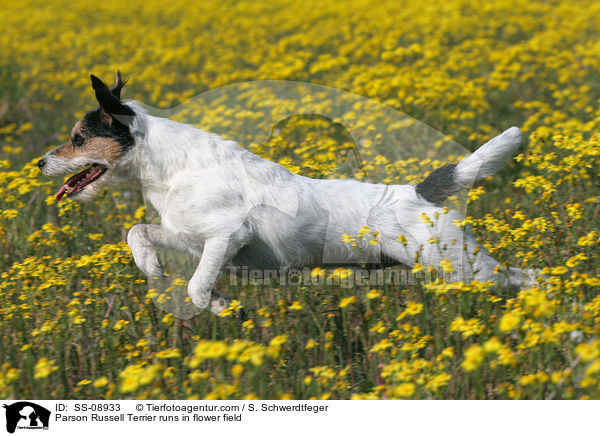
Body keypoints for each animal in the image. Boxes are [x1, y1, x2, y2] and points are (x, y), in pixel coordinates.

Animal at [39, 72, 540, 316]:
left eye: (78, 139)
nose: (40, 163)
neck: (169, 167)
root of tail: (420, 192)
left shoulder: (226, 237)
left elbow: (198, 286)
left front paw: (219, 306)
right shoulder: (190, 237)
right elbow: (137, 232)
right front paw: (151, 267)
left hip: (463, 267)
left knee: (533, 277)